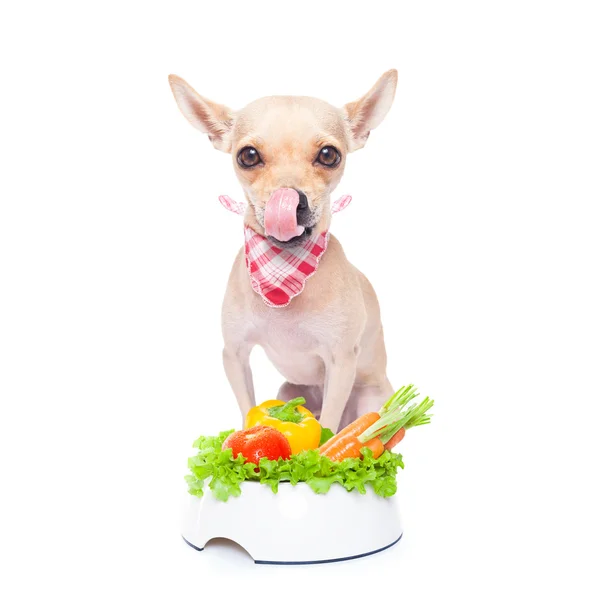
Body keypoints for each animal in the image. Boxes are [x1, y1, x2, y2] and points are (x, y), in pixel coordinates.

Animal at [169, 70, 398, 432]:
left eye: (329, 155)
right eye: (248, 156)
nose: (291, 201)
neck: (282, 269)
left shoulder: (341, 361)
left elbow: (328, 428)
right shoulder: (234, 354)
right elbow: (247, 407)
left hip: (370, 400)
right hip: (289, 390)